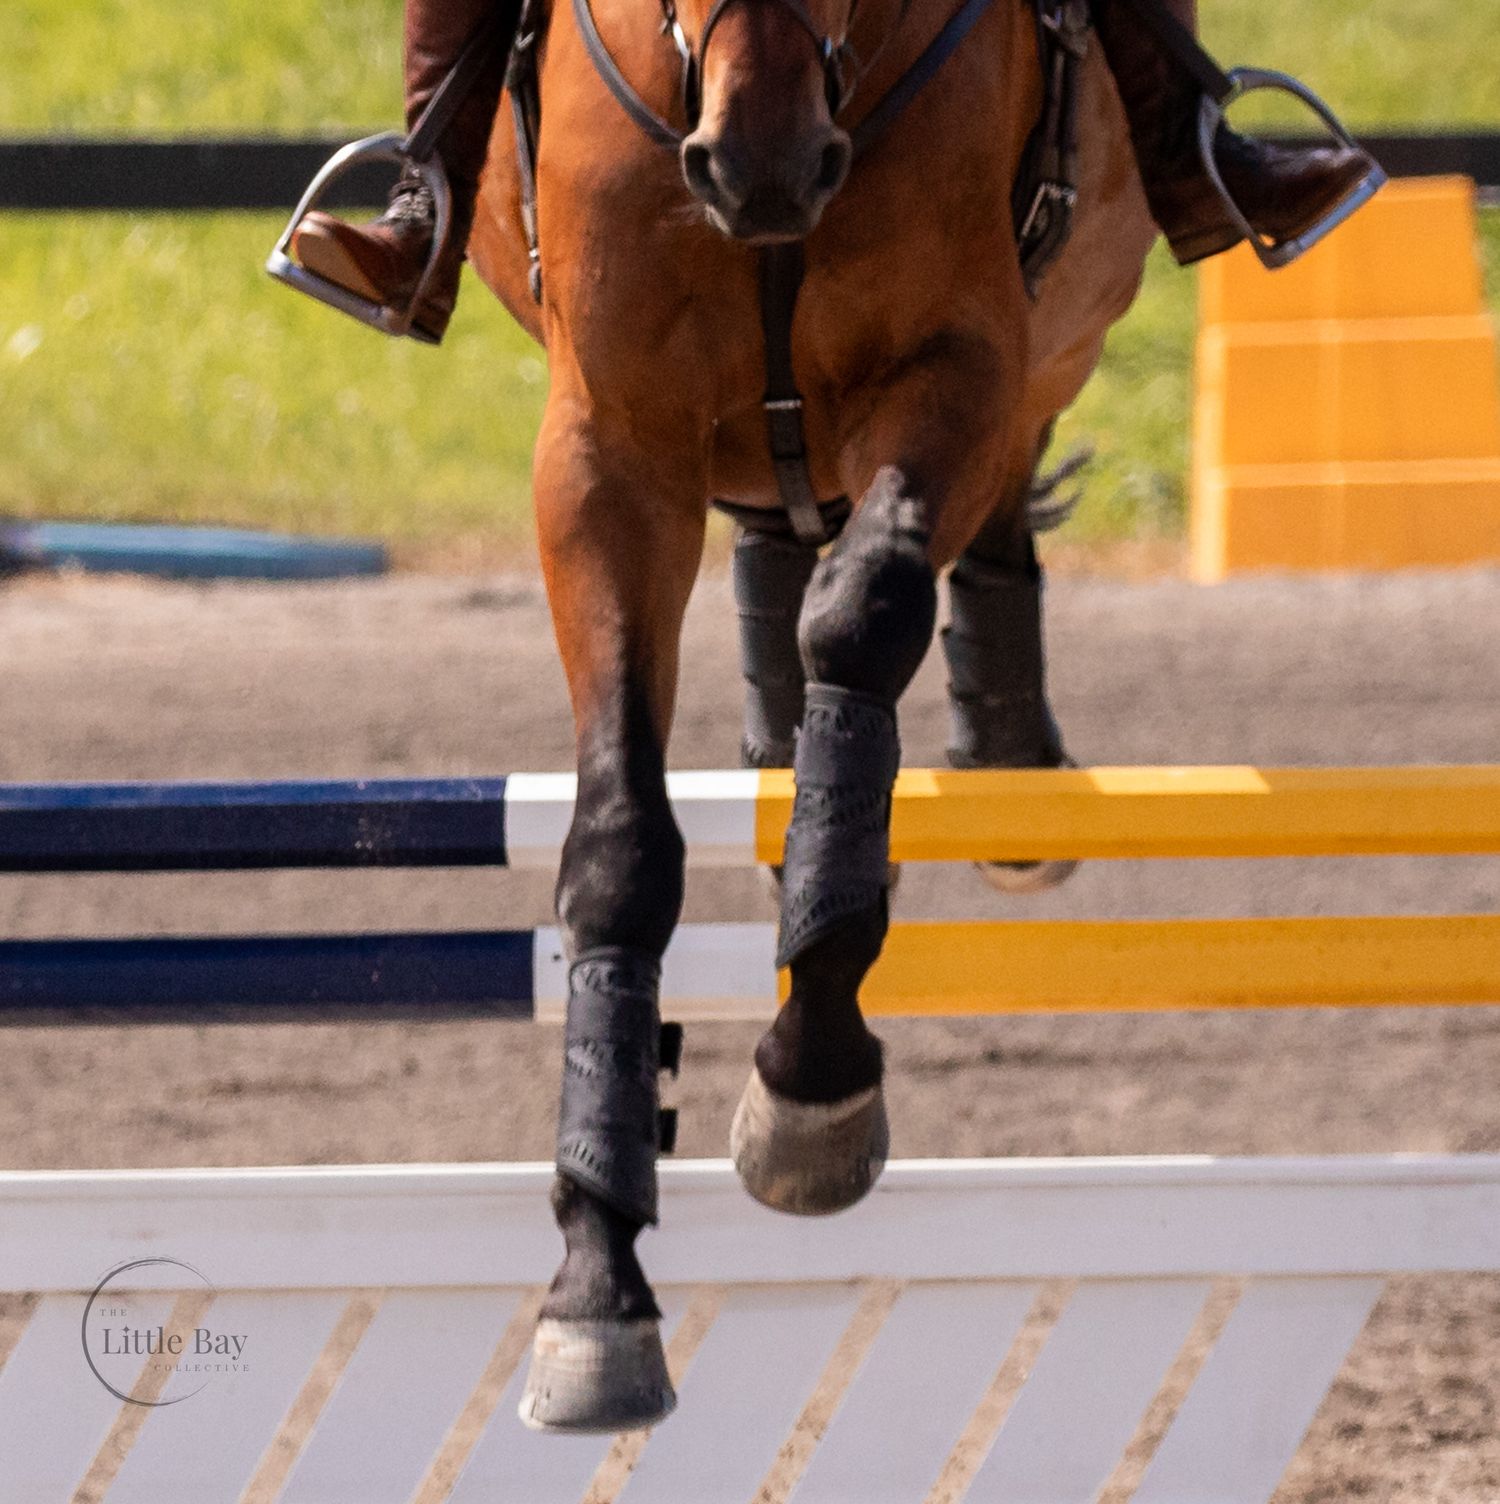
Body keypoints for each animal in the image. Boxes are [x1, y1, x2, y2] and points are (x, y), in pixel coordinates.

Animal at [463, 0, 1156, 1433]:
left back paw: (1000, 763)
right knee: (784, 558)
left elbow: (870, 612)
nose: (763, 166)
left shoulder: (961, 360)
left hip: (1045, 335)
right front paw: (596, 1289)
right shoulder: (608, 451)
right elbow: (620, 847)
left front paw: (811, 1084)